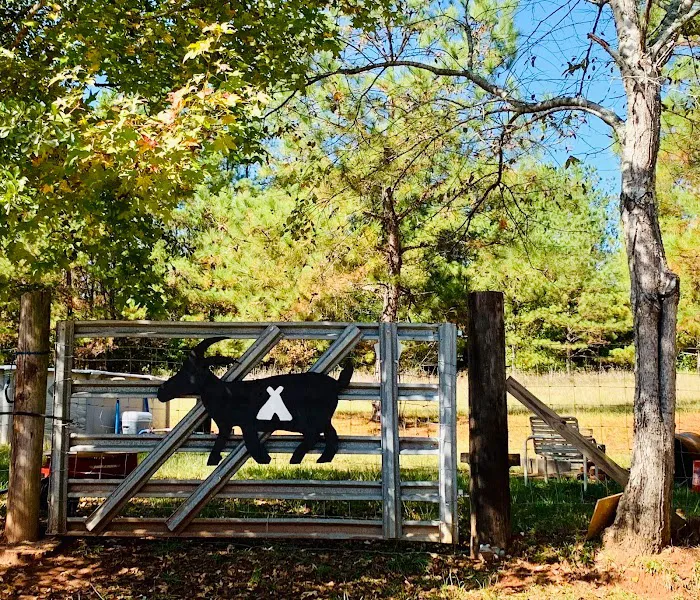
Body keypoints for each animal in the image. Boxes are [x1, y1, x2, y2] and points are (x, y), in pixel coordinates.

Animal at [157, 337, 352, 465]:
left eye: (189, 372)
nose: (161, 391)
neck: (225, 393)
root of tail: (336, 384)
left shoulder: (245, 424)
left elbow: (251, 444)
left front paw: (264, 460)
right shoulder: (227, 425)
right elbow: (221, 442)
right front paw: (214, 460)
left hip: (309, 419)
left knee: (314, 435)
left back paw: (295, 459)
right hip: (323, 419)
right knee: (331, 435)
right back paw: (322, 459)